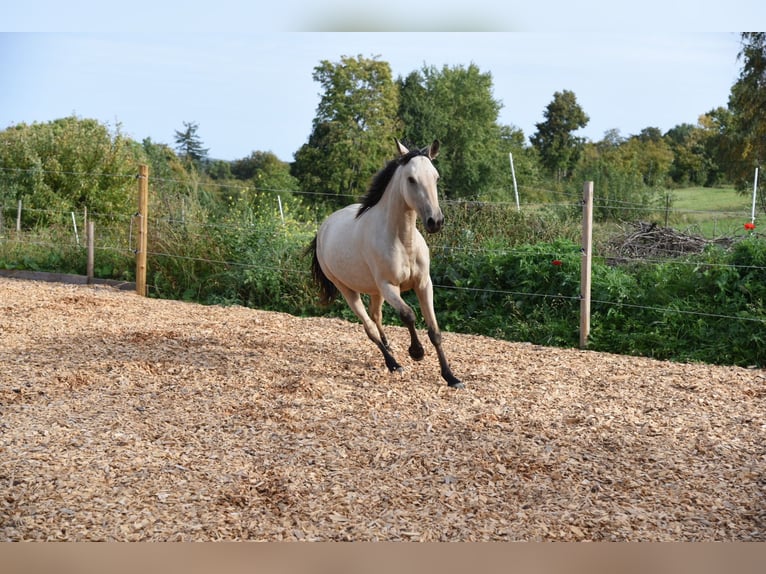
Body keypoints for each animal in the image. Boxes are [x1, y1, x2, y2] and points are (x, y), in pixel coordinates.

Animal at [308, 138, 464, 389]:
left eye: (436, 177)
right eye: (411, 179)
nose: (435, 222)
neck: (403, 241)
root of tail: (323, 229)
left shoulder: (424, 284)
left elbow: (435, 332)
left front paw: (451, 377)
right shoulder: (389, 287)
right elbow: (408, 315)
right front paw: (416, 352)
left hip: (374, 291)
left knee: (376, 317)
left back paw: (389, 348)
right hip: (348, 290)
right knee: (369, 326)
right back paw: (393, 364)